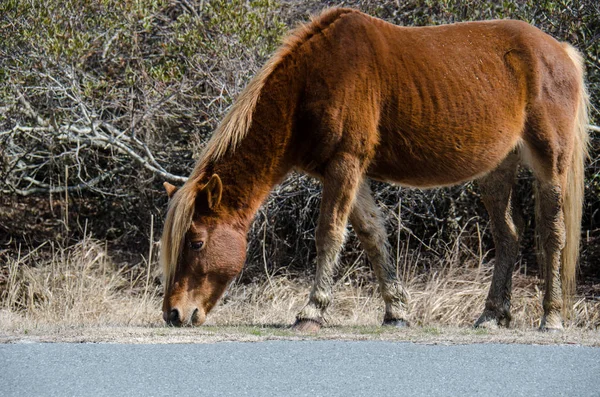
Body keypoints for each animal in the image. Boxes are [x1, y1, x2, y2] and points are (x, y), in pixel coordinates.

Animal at [159, 8, 592, 332]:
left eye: (195, 242)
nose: (174, 314)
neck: (310, 83)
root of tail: (559, 50)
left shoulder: (345, 164)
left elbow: (329, 235)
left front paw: (311, 312)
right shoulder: (346, 172)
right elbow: (372, 235)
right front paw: (395, 312)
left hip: (550, 163)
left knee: (552, 234)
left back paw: (551, 317)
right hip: (497, 171)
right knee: (508, 236)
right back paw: (491, 315)